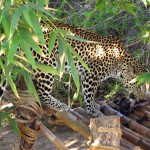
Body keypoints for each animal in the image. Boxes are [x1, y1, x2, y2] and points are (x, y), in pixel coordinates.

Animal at [0, 22, 149, 118]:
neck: (119, 61)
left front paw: (94, 107)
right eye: (140, 86)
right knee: (41, 92)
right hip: (47, 65)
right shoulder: (91, 74)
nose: (142, 99)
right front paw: (93, 111)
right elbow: (89, 95)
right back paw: (61, 106)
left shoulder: (84, 75)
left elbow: (85, 93)